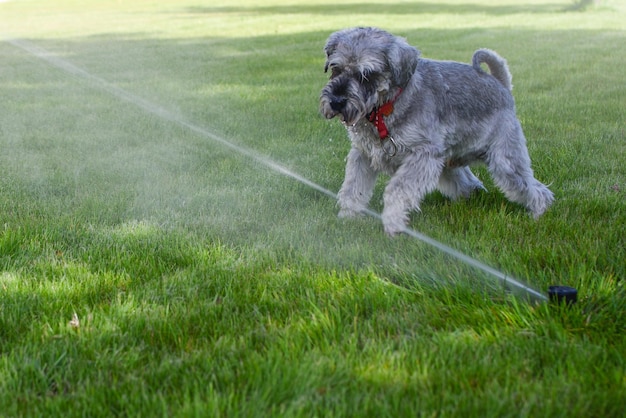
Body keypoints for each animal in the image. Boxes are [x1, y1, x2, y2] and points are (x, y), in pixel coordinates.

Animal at [320, 27, 552, 235]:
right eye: (335, 68)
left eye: (367, 75)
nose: (336, 102)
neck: (384, 108)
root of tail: (501, 85)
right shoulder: (363, 154)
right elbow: (352, 187)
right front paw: (347, 217)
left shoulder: (422, 155)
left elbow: (396, 190)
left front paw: (393, 223)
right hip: (448, 165)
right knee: (469, 184)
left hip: (506, 162)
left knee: (536, 189)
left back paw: (537, 215)